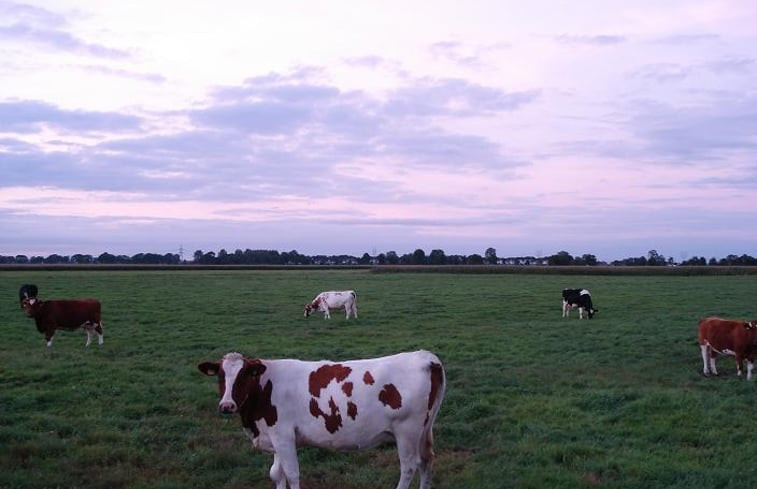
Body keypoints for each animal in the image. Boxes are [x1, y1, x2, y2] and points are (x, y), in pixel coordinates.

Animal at [198, 348, 446, 488]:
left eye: (243, 376)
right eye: (220, 376)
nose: (226, 405)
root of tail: (425, 357)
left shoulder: (283, 436)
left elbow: (292, 474)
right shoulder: (276, 436)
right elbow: (276, 474)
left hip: (407, 430)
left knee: (409, 467)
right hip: (424, 430)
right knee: (427, 460)